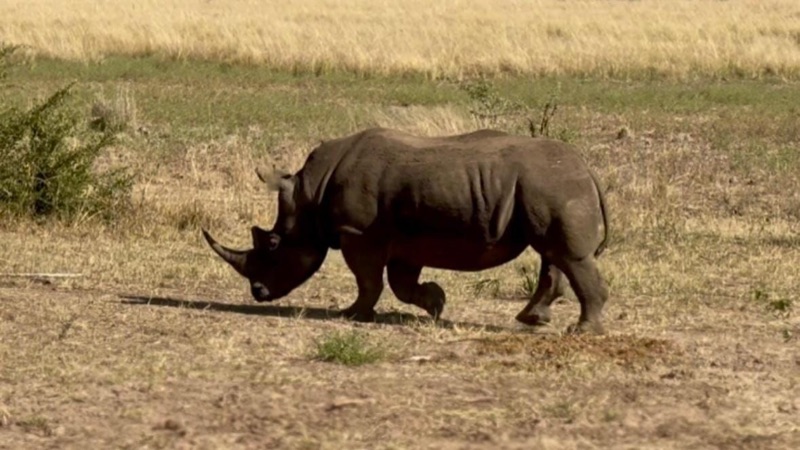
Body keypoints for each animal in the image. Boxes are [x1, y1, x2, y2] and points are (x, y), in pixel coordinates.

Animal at [202, 127, 610, 334]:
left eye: (272, 244)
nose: (258, 293)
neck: (309, 193)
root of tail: (587, 168)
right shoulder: (402, 239)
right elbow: (401, 282)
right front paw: (436, 303)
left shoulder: (358, 233)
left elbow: (368, 280)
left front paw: (351, 315)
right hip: (547, 186)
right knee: (552, 253)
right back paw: (532, 320)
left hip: (553, 184)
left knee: (567, 255)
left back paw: (582, 331)